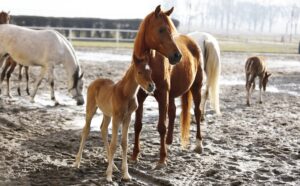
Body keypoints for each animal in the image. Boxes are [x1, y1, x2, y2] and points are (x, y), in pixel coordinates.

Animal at [74, 54, 155, 182]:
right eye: (139, 72)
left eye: (150, 71)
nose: (151, 86)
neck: (126, 94)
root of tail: (95, 81)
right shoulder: (116, 118)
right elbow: (113, 144)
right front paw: (109, 175)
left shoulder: (127, 118)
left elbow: (124, 143)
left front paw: (126, 174)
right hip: (91, 109)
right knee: (86, 130)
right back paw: (77, 163)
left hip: (107, 114)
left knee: (103, 129)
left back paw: (114, 166)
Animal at [131, 5, 204, 167]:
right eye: (161, 30)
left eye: (171, 30)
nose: (177, 56)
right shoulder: (140, 96)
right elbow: (138, 125)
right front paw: (134, 155)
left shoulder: (162, 94)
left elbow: (161, 127)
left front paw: (162, 159)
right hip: (171, 95)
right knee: (172, 111)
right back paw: (169, 142)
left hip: (196, 88)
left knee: (197, 112)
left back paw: (198, 144)